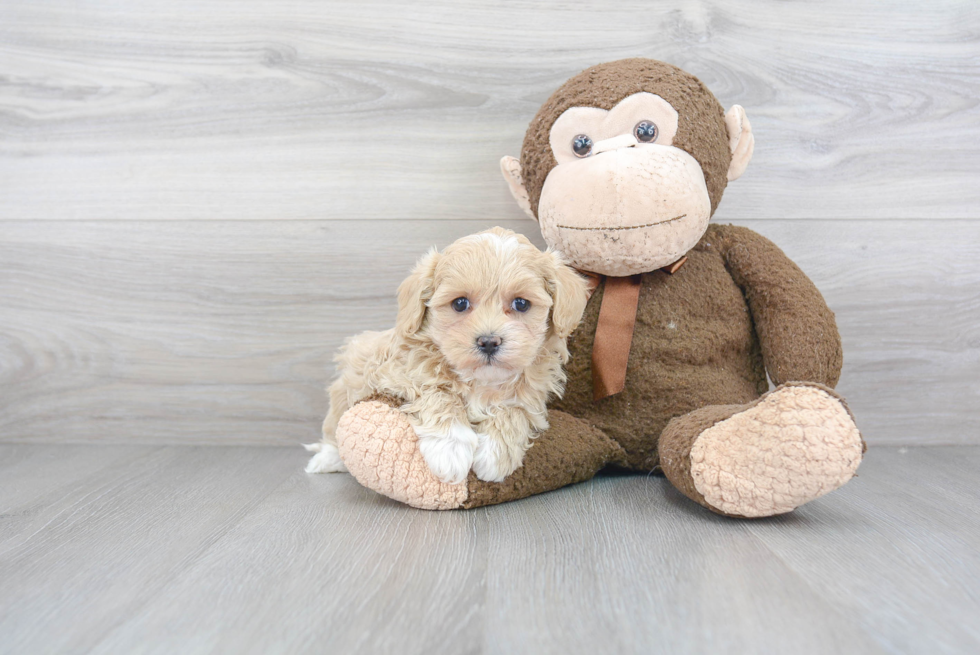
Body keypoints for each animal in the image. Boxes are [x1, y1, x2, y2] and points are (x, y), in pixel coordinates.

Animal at [302, 228, 584, 484]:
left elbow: (513, 410)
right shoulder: (398, 372)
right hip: (350, 379)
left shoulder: (531, 396)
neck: (480, 381)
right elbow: (438, 391)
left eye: (521, 304)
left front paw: (495, 455)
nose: (488, 342)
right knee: (334, 426)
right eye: (460, 303)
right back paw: (327, 459)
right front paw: (450, 450)